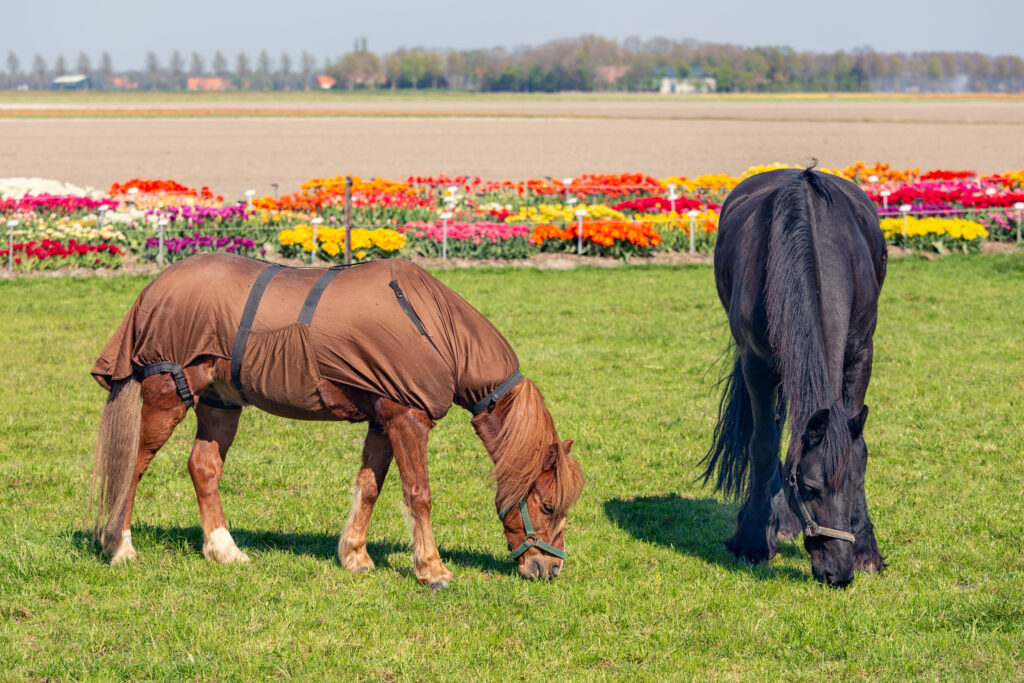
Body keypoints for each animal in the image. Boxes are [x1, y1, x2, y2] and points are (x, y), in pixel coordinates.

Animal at [86, 253, 585, 585]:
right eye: (546, 505)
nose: (550, 568)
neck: (434, 328)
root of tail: (152, 289)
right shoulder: (409, 419)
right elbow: (418, 494)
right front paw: (432, 569)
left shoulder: (384, 419)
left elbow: (370, 487)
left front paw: (355, 556)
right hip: (169, 395)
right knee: (131, 467)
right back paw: (119, 546)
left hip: (220, 403)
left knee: (203, 469)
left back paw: (224, 550)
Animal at [704, 166, 888, 589]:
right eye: (809, 488)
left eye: (855, 483)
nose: (839, 572)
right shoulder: (757, 362)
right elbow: (764, 444)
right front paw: (752, 540)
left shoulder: (861, 353)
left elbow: (858, 446)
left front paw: (866, 548)